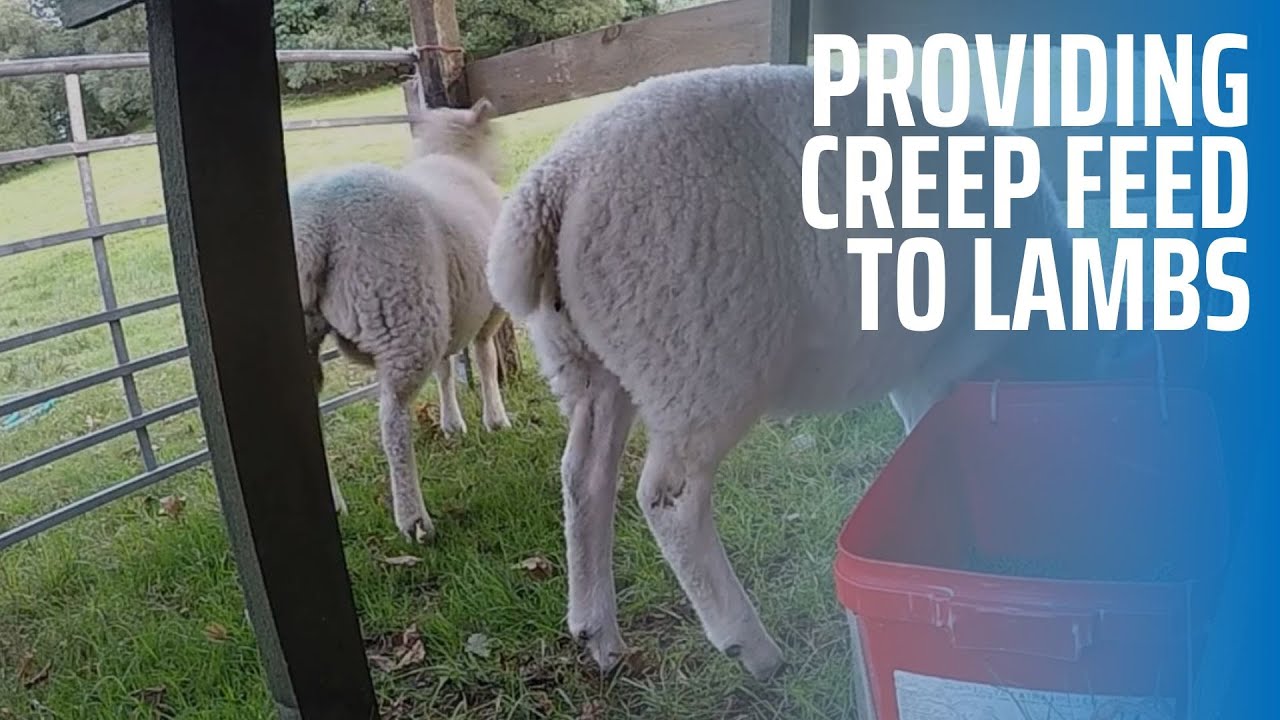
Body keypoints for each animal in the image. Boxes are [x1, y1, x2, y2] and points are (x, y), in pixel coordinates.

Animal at [290, 98, 511, 543]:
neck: (457, 158)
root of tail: (314, 226)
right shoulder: (489, 308)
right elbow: (484, 358)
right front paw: (495, 418)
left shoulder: (446, 309)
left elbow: (446, 370)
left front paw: (452, 423)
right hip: (403, 316)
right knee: (392, 421)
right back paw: (414, 520)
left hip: (325, 329)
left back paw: (335, 504)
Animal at [486, 63, 1137, 680]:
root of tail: (556, 184)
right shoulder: (947, 351)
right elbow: (929, 422)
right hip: (695, 354)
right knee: (670, 498)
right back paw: (749, 645)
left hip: (591, 361)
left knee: (583, 476)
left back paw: (597, 631)